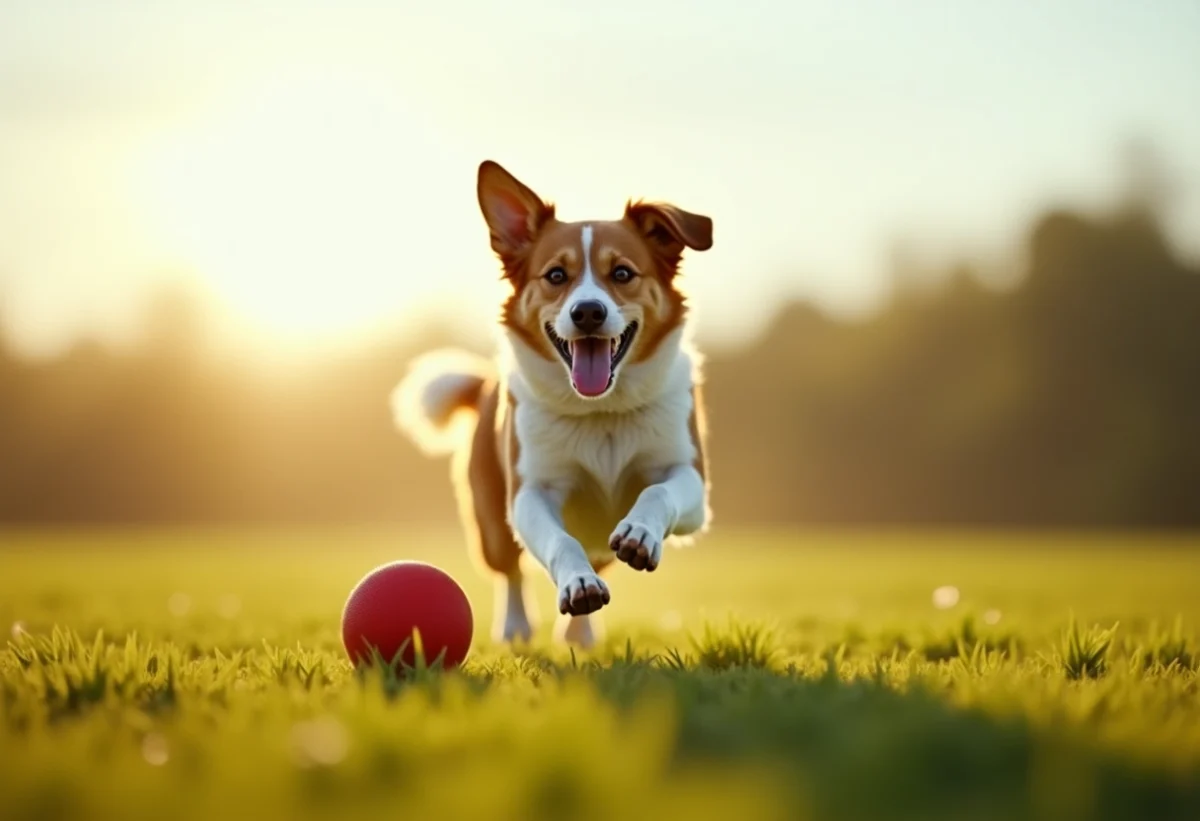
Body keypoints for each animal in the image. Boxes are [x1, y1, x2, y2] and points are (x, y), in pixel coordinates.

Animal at [393, 160, 710, 648]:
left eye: (622, 273)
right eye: (556, 276)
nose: (588, 312)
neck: (601, 413)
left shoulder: (691, 480)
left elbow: (658, 492)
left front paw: (639, 532)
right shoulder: (530, 494)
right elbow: (560, 543)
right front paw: (577, 584)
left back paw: (581, 633)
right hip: (490, 521)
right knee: (509, 570)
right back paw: (516, 626)